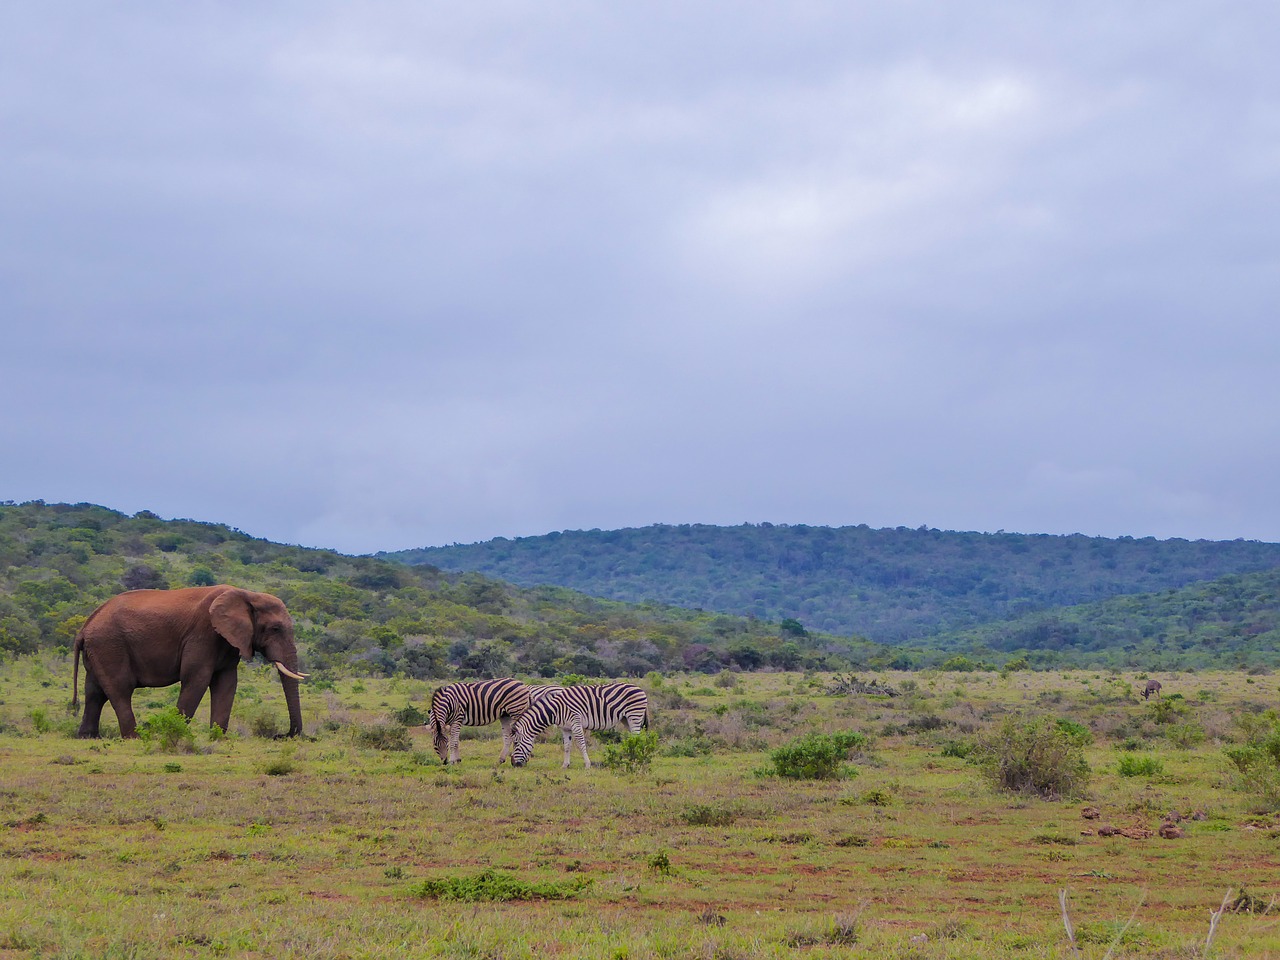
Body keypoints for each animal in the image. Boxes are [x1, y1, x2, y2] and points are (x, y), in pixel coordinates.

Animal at [72, 586, 307, 737]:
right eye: (275, 629)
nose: (282, 735)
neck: (247, 594)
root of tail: (84, 627)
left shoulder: (228, 640)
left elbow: (227, 682)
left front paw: (218, 737)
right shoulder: (203, 634)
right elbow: (197, 678)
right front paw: (174, 732)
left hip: (98, 650)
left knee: (94, 692)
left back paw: (88, 737)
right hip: (110, 645)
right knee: (120, 689)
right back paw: (134, 737)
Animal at [509, 680, 650, 773]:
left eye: (516, 743)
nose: (513, 764)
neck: (556, 709)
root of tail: (640, 689)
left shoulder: (575, 722)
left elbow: (581, 744)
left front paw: (587, 765)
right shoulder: (565, 728)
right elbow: (566, 746)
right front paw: (565, 765)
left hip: (634, 715)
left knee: (637, 738)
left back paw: (634, 761)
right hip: (626, 719)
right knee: (634, 738)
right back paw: (631, 759)